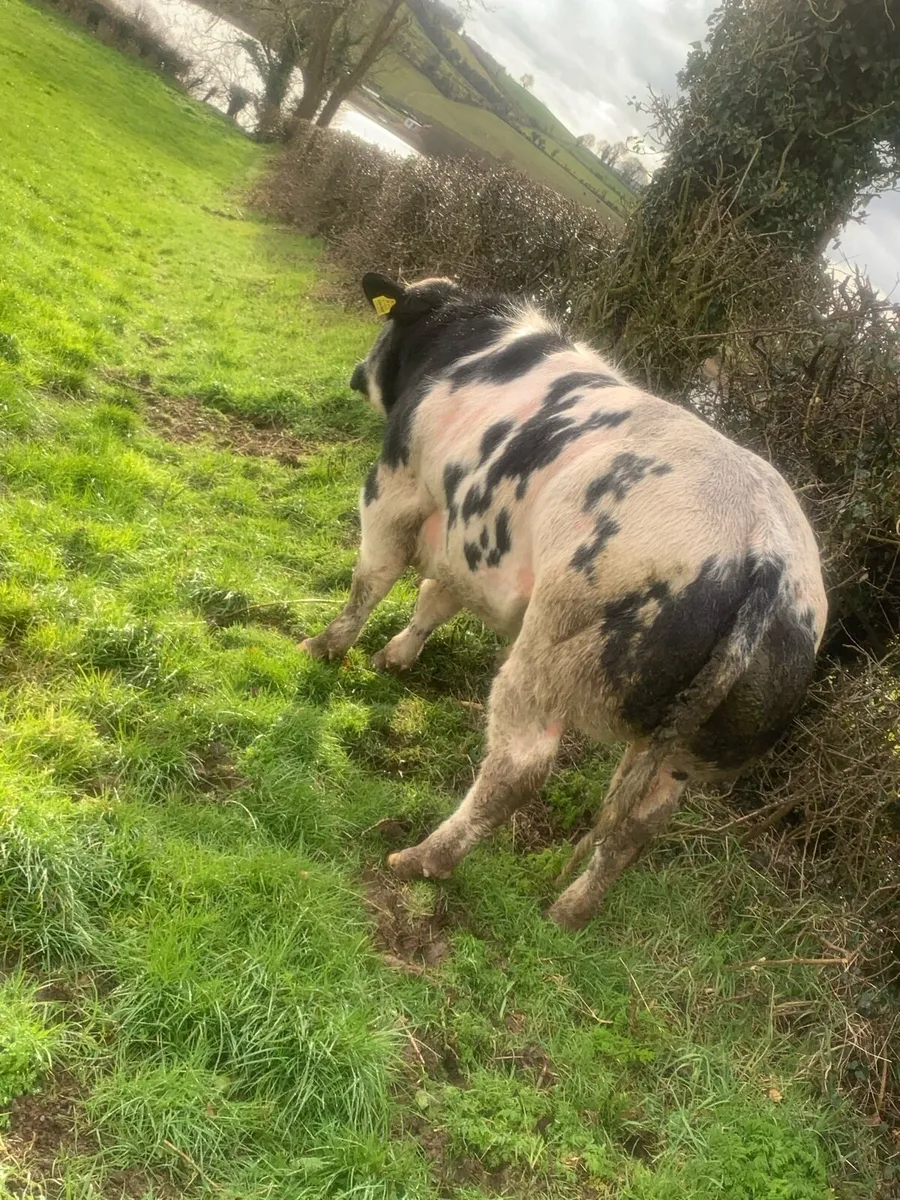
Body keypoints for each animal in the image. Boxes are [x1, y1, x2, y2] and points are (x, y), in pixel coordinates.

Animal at [302, 272, 828, 930]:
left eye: (390, 322)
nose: (355, 372)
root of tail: (767, 557)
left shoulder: (398, 486)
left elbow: (372, 577)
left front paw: (321, 647)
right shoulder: (471, 543)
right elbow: (435, 597)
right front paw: (391, 658)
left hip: (552, 649)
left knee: (520, 765)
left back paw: (417, 860)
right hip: (695, 746)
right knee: (642, 823)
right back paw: (566, 914)